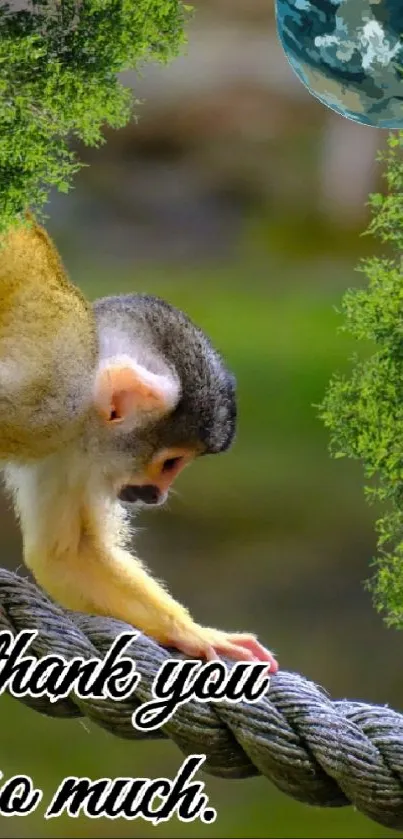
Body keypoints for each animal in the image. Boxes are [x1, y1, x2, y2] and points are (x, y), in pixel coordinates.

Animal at [0, 217, 278, 668]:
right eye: (170, 464)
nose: (158, 495)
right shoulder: (47, 396)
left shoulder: (67, 448)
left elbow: (68, 555)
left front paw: (193, 632)